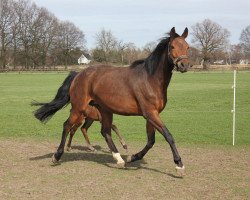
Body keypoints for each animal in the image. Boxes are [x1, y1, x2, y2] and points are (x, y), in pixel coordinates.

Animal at [32, 27, 189, 175]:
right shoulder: (150, 113)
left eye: (187, 47)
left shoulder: (152, 115)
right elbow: (168, 135)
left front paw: (133, 157)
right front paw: (179, 165)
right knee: (67, 126)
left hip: (104, 110)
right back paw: (57, 156)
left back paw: (119, 159)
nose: (184, 65)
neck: (150, 79)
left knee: (105, 132)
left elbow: (151, 141)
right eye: (172, 46)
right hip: (78, 109)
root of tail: (79, 74)